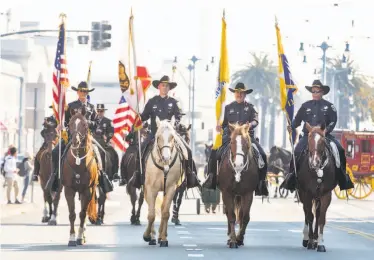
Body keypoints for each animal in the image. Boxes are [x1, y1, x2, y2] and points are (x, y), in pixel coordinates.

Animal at [62, 110, 99, 248]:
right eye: (70, 123)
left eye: (84, 124)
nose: (75, 142)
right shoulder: (69, 190)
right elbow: (72, 214)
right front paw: (71, 238)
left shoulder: (87, 190)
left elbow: (82, 214)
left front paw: (79, 237)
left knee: (86, 212)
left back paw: (83, 235)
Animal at [142, 116, 188, 248]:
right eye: (158, 137)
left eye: (172, 136)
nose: (166, 158)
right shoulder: (151, 189)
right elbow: (151, 214)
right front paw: (147, 236)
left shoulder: (171, 188)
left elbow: (165, 213)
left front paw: (163, 238)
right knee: (151, 209)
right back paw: (153, 237)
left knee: (163, 209)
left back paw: (160, 236)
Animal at [298, 123, 336, 253]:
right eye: (309, 140)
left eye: (322, 141)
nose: (315, 163)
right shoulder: (307, 193)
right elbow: (310, 216)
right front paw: (309, 241)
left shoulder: (326, 195)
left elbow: (321, 218)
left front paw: (320, 243)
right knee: (306, 212)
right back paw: (307, 239)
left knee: (317, 214)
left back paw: (315, 239)